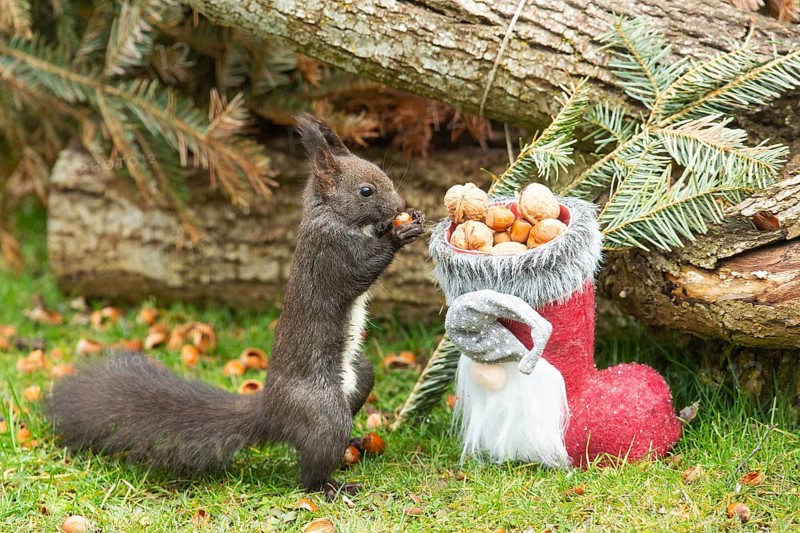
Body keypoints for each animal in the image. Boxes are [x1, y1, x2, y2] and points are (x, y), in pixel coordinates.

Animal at [45, 114, 427, 500]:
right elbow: (361, 270)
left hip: (361, 375)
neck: (333, 215)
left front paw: (408, 219)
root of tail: (271, 412)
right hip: (323, 412)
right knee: (310, 470)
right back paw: (332, 485)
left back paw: (357, 442)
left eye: (383, 173)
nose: (399, 206)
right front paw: (399, 234)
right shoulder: (331, 252)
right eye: (366, 190)